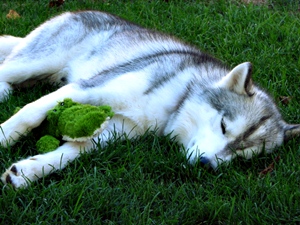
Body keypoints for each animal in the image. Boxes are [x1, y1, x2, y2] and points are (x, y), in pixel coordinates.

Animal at [0, 11, 298, 189]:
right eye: (224, 126)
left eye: (243, 155)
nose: (207, 165)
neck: (177, 102)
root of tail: (77, 11)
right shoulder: (86, 88)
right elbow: (30, 112)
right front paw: (5, 136)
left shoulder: (120, 129)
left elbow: (73, 152)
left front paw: (28, 171)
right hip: (37, 62)